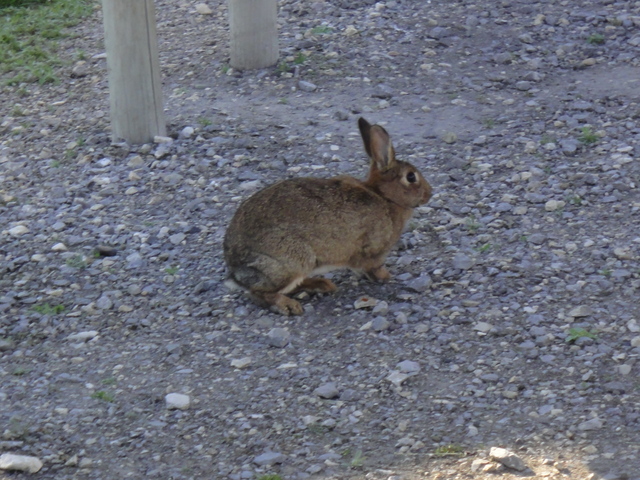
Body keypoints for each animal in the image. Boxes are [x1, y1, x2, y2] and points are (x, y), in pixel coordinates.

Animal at [222, 116, 432, 316]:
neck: (384, 196)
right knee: (260, 292)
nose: (429, 193)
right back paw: (288, 305)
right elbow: (373, 267)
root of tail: (236, 271)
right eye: (411, 177)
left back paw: (321, 285)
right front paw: (386, 277)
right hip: (293, 261)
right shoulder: (374, 250)